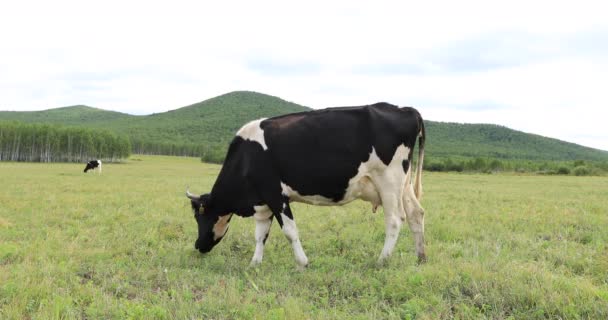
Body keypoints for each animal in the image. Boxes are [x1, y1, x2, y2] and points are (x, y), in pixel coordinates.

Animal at [186, 102, 428, 268]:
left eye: (199, 216)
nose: (198, 245)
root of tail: (407, 110)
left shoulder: (276, 195)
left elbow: (290, 231)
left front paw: (302, 263)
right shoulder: (263, 202)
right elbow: (261, 234)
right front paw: (254, 263)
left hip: (389, 181)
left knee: (395, 220)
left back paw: (381, 260)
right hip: (404, 185)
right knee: (416, 214)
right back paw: (421, 257)